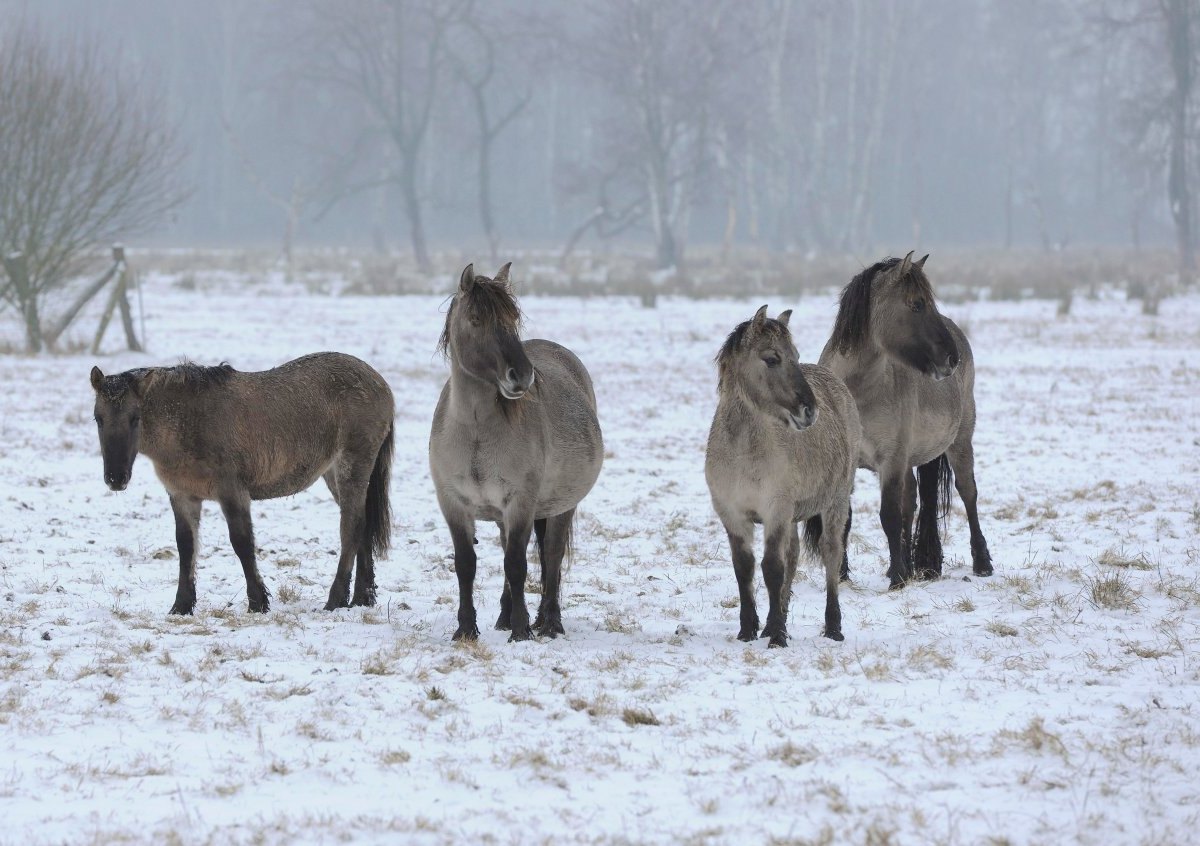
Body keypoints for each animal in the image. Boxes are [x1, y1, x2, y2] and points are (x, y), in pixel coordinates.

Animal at [91, 352, 398, 619]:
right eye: (98, 418)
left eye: (135, 418)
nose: (116, 478)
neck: (188, 421)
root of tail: (380, 383)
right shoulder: (182, 496)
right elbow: (186, 547)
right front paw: (181, 606)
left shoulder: (232, 491)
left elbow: (241, 542)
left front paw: (258, 602)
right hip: (333, 475)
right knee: (363, 525)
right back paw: (363, 598)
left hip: (352, 466)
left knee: (351, 527)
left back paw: (336, 600)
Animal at [427, 264, 604, 638]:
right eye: (477, 319)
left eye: (513, 319)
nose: (521, 376)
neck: (476, 433)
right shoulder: (453, 503)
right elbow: (466, 564)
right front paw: (466, 629)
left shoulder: (521, 502)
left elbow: (517, 564)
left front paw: (522, 631)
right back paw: (504, 616)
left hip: (562, 506)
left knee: (551, 555)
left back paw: (549, 621)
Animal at [700, 307, 864, 643]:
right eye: (772, 358)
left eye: (795, 356)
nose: (809, 410)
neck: (743, 452)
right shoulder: (732, 514)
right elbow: (745, 568)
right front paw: (749, 629)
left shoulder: (776, 510)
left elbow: (772, 568)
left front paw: (776, 635)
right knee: (794, 555)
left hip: (836, 502)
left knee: (831, 554)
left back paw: (833, 627)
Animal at [816, 250, 993, 588]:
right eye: (917, 304)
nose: (951, 358)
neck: (858, 392)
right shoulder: (849, 463)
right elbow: (845, 517)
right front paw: (841, 575)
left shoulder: (892, 459)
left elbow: (889, 515)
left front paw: (897, 579)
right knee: (911, 500)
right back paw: (911, 565)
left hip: (959, 442)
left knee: (968, 492)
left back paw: (981, 563)